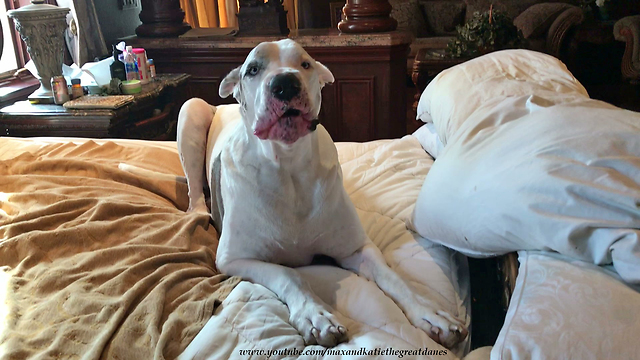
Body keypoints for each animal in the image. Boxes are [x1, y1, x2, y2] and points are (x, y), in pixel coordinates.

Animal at [178, 39, 468, 348]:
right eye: (253, 69)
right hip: (190, 110)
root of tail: (221, 104)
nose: (285, 83)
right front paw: (315, 315)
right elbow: (289, 274)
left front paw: (430, 314)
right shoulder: (235, 259)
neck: (289, 167)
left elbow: (394, 278)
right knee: (194, 190)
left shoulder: (357, 249)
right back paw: (198, 213)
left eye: (305, 64)